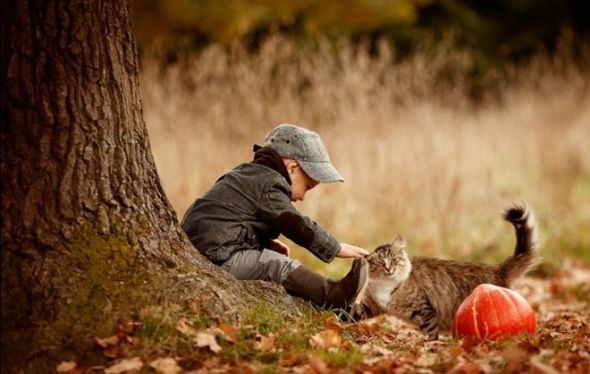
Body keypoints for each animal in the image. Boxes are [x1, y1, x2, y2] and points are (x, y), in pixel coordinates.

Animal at [354, 203, 544, 340]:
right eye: (380, 262)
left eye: (393, 259)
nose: (389, 269)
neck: (386, 285)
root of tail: (497, 268)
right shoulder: (369, 306)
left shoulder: (425, 311)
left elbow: (431, 334)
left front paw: (431, 346)